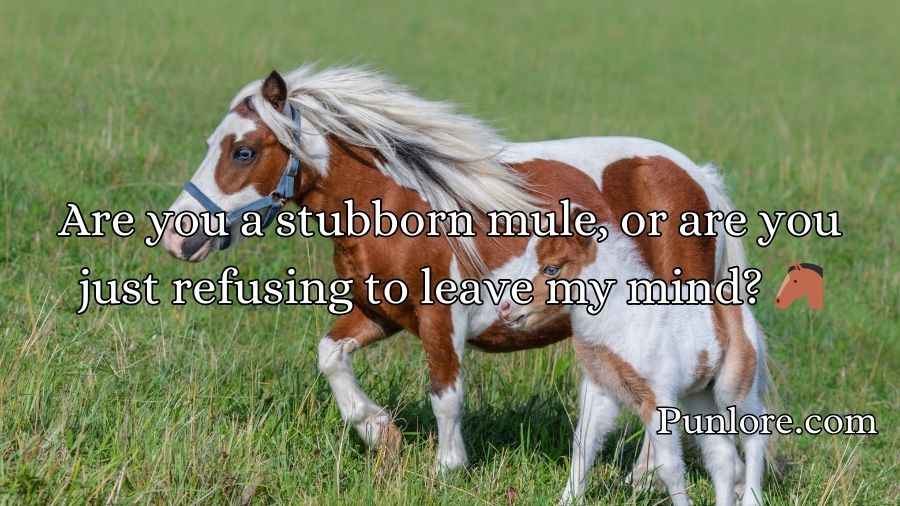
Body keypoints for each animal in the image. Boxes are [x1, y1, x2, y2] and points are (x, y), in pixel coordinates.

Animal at [161, 64, 749, 479]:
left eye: (242, 151)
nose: (177, 237)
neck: (393, 200)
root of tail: (697, 176)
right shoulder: (380, 312)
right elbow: (330, 356)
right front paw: (381, 435)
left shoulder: (441, 317)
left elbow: (446, 394)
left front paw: (447, 467)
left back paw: (643, 477)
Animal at [494, 209, 768, 506]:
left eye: (551, 269)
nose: (504, 309)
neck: (621, 319)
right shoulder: (600, 389)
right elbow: (583, 447)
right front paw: (568, 500)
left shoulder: (657, 397)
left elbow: (669, 466)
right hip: (700, 397)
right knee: (721, 456)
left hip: (734, 388)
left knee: (755, 434)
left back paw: (752, 498)